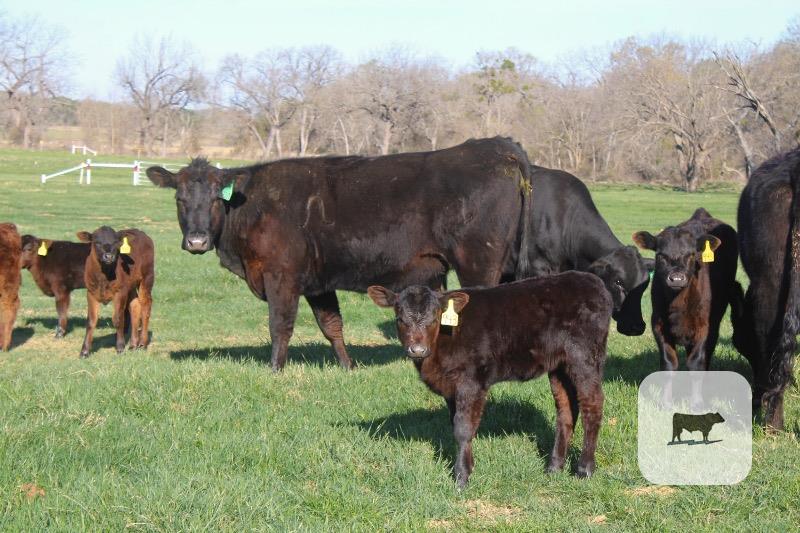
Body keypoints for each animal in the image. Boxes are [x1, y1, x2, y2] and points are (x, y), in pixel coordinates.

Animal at [76, 226, 155, 358]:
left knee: (146, 305)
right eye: (97, 242)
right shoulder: (91, 292)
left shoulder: (120, 292)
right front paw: (84, 351)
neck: (104, 277)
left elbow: (118, 319)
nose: (109, 256)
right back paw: (133, 344)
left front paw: (120, 347)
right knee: (135, 306)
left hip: (147, 277)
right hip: (131, 285)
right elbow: (91, 321)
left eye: (116, 243)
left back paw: (142, 343)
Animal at [147, 137, 535, 371]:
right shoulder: (318, 283)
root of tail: (495, 146)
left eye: (216, 198)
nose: (196, 240)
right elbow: (331, 326)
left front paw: (275, 369)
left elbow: (280, 325)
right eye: (179, 199)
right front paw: (348, 367)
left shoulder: (281, 276)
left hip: (478, 262)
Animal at [368, 271, 612, 487]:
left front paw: (461, 477)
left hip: (584, 357)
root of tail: (593, 281)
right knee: (566, 409)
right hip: (559, 366)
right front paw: (467, 466)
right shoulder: (450, 386)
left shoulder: (471, 381)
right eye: (400, 319)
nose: (417, 350)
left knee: (592, 404)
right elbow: (455, 423)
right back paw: (554, 467)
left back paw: (584, 469)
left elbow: (463, 428)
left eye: (434, 318)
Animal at [633, 208, 738, 371]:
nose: (677, 278)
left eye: (691, 254)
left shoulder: (704, 327)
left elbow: (696, 362)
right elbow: (669, 362)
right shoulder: (658, 324)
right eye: (660, 255)